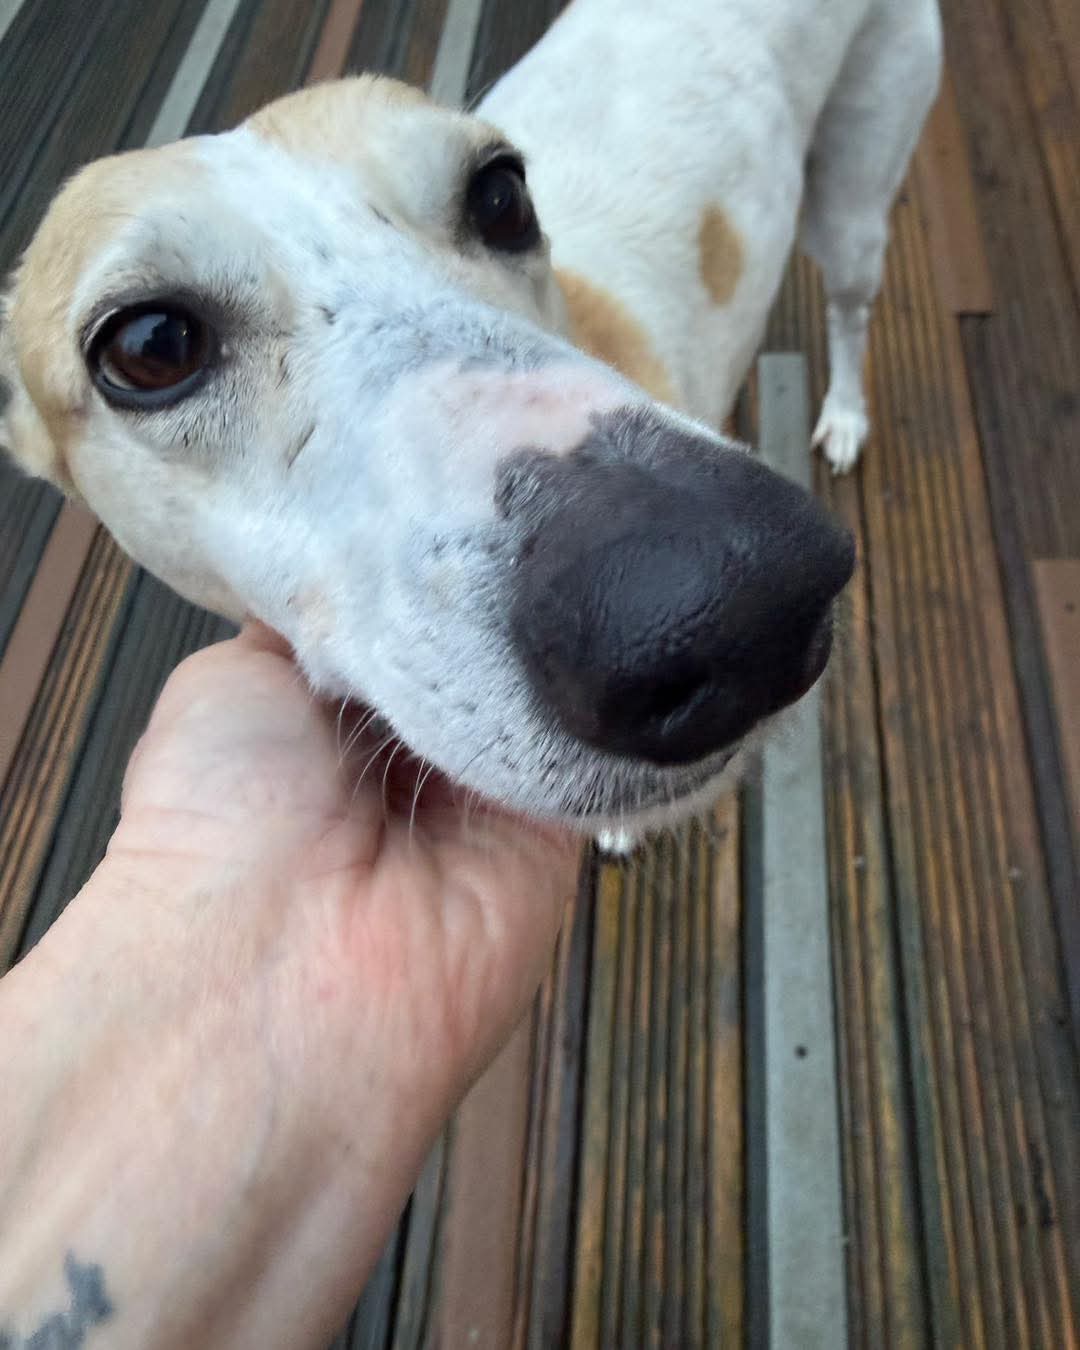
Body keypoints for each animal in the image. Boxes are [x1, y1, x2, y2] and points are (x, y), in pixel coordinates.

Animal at [0, 0, 940, 836]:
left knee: (851, 307)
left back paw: (845, 414)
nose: (748, 602)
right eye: (151, 345)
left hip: (855, 200)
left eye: (500, 193)